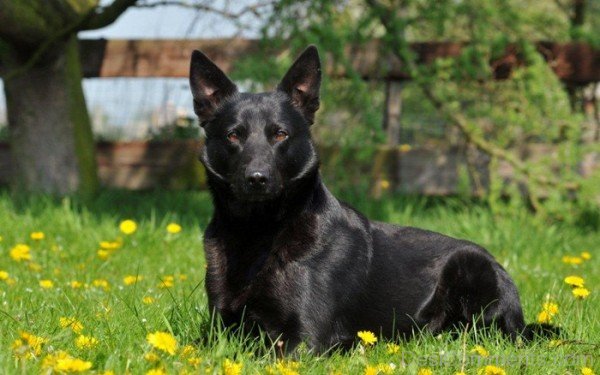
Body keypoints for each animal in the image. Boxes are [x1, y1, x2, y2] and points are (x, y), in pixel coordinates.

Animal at [192, 46, 540, 352]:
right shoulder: (218, 330)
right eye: (233, 135)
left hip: (471, 271)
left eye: (280, 134)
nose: (257, 179)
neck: (257, 232)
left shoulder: (304, 338)